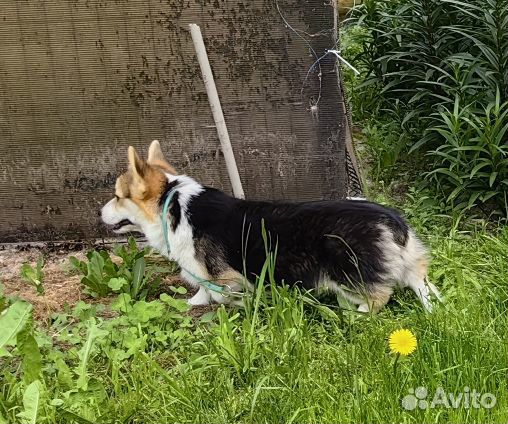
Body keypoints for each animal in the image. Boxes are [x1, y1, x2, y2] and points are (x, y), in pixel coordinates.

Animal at [100, 141, 440, 310]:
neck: (174, 206)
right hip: (409, 265)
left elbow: (216, 292)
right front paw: (194, 303)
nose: (100, 213)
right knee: (421, 284)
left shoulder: (222, 276)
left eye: (117, 196)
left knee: (378, 297)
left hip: (348, 274)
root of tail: (392, 220)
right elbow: (203, 292)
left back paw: (355, 314)